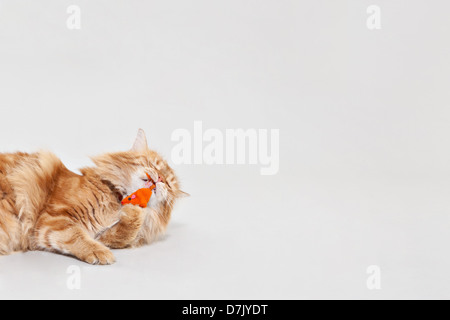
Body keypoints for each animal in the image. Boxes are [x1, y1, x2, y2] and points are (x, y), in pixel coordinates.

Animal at [0, 130, 186, 264]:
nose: (160, 178)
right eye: (153, 164)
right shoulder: (52, 219)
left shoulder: (102, 235)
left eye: (169, 184)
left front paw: (135, 213)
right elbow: (76, 235)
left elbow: (122, 234)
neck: (117, 200)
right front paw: (100, 252)